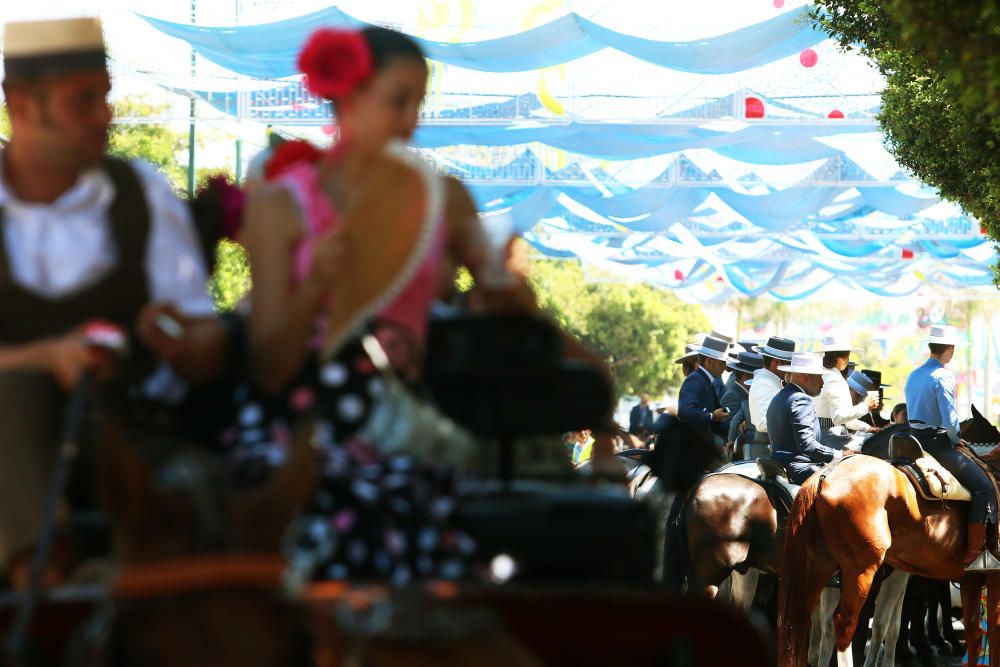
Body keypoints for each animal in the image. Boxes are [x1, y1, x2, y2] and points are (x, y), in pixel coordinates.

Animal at [776, 410, 1000, 664]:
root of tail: (824, 475)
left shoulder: (951, 579)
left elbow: (973, 632)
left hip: (816, 567)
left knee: (803, 621)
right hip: (862, 571)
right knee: (844, 623)